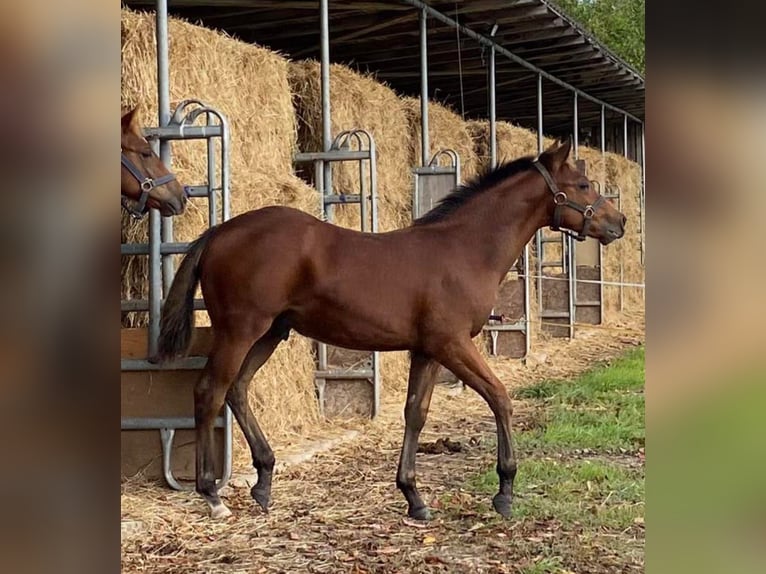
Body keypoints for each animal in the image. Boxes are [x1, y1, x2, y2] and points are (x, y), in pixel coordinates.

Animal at [153, 138, 628, 520]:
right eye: (583, 185)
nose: (618, 222)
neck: (464, 250)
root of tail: (219, 232)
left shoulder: (427, 351)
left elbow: (415, 413)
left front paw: (414, 497)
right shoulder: (452, 344)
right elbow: (500, 398)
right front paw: (505, 490)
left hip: (270, 333)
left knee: (237, 390)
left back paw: (264, 482)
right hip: (240, 330)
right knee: (210, 392)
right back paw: (212, 494)